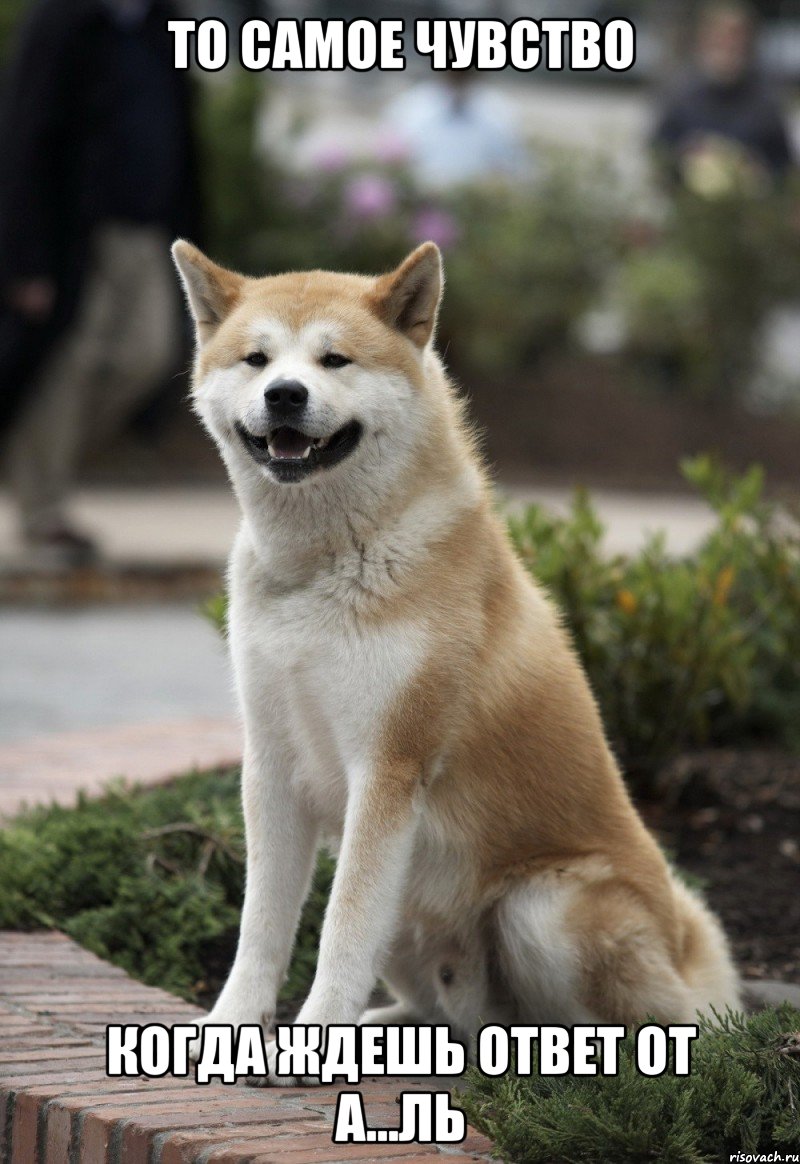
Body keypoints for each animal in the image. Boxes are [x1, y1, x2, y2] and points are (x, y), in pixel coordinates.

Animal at [172, 238, 740, 1080]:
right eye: (257, 359)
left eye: (334, 360)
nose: (284, 395)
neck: (325, 563)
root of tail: (683, 948)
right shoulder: (272, 764)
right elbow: (261, 926)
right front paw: (233, 1027)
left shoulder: (389, 768)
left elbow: (339, 928)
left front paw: (315, 1038)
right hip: (416, 921)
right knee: (453, 1019)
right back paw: (400, 1030)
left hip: (543, 909)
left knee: (612, 1029)